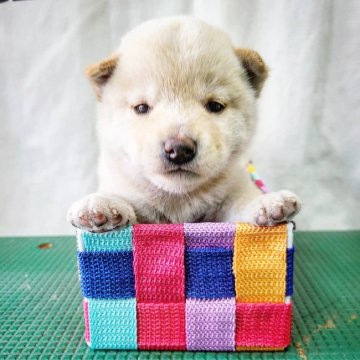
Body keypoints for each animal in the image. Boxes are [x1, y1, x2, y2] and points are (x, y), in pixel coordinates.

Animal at [67, 16, 300, 232]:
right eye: (141, 108)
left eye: (215, 106)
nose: (178, 150)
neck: (178, 199)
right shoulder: (128, 190)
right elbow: (121, 198)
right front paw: (99, 204)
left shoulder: (231, 191)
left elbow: (242, 200)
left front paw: (268, 202)